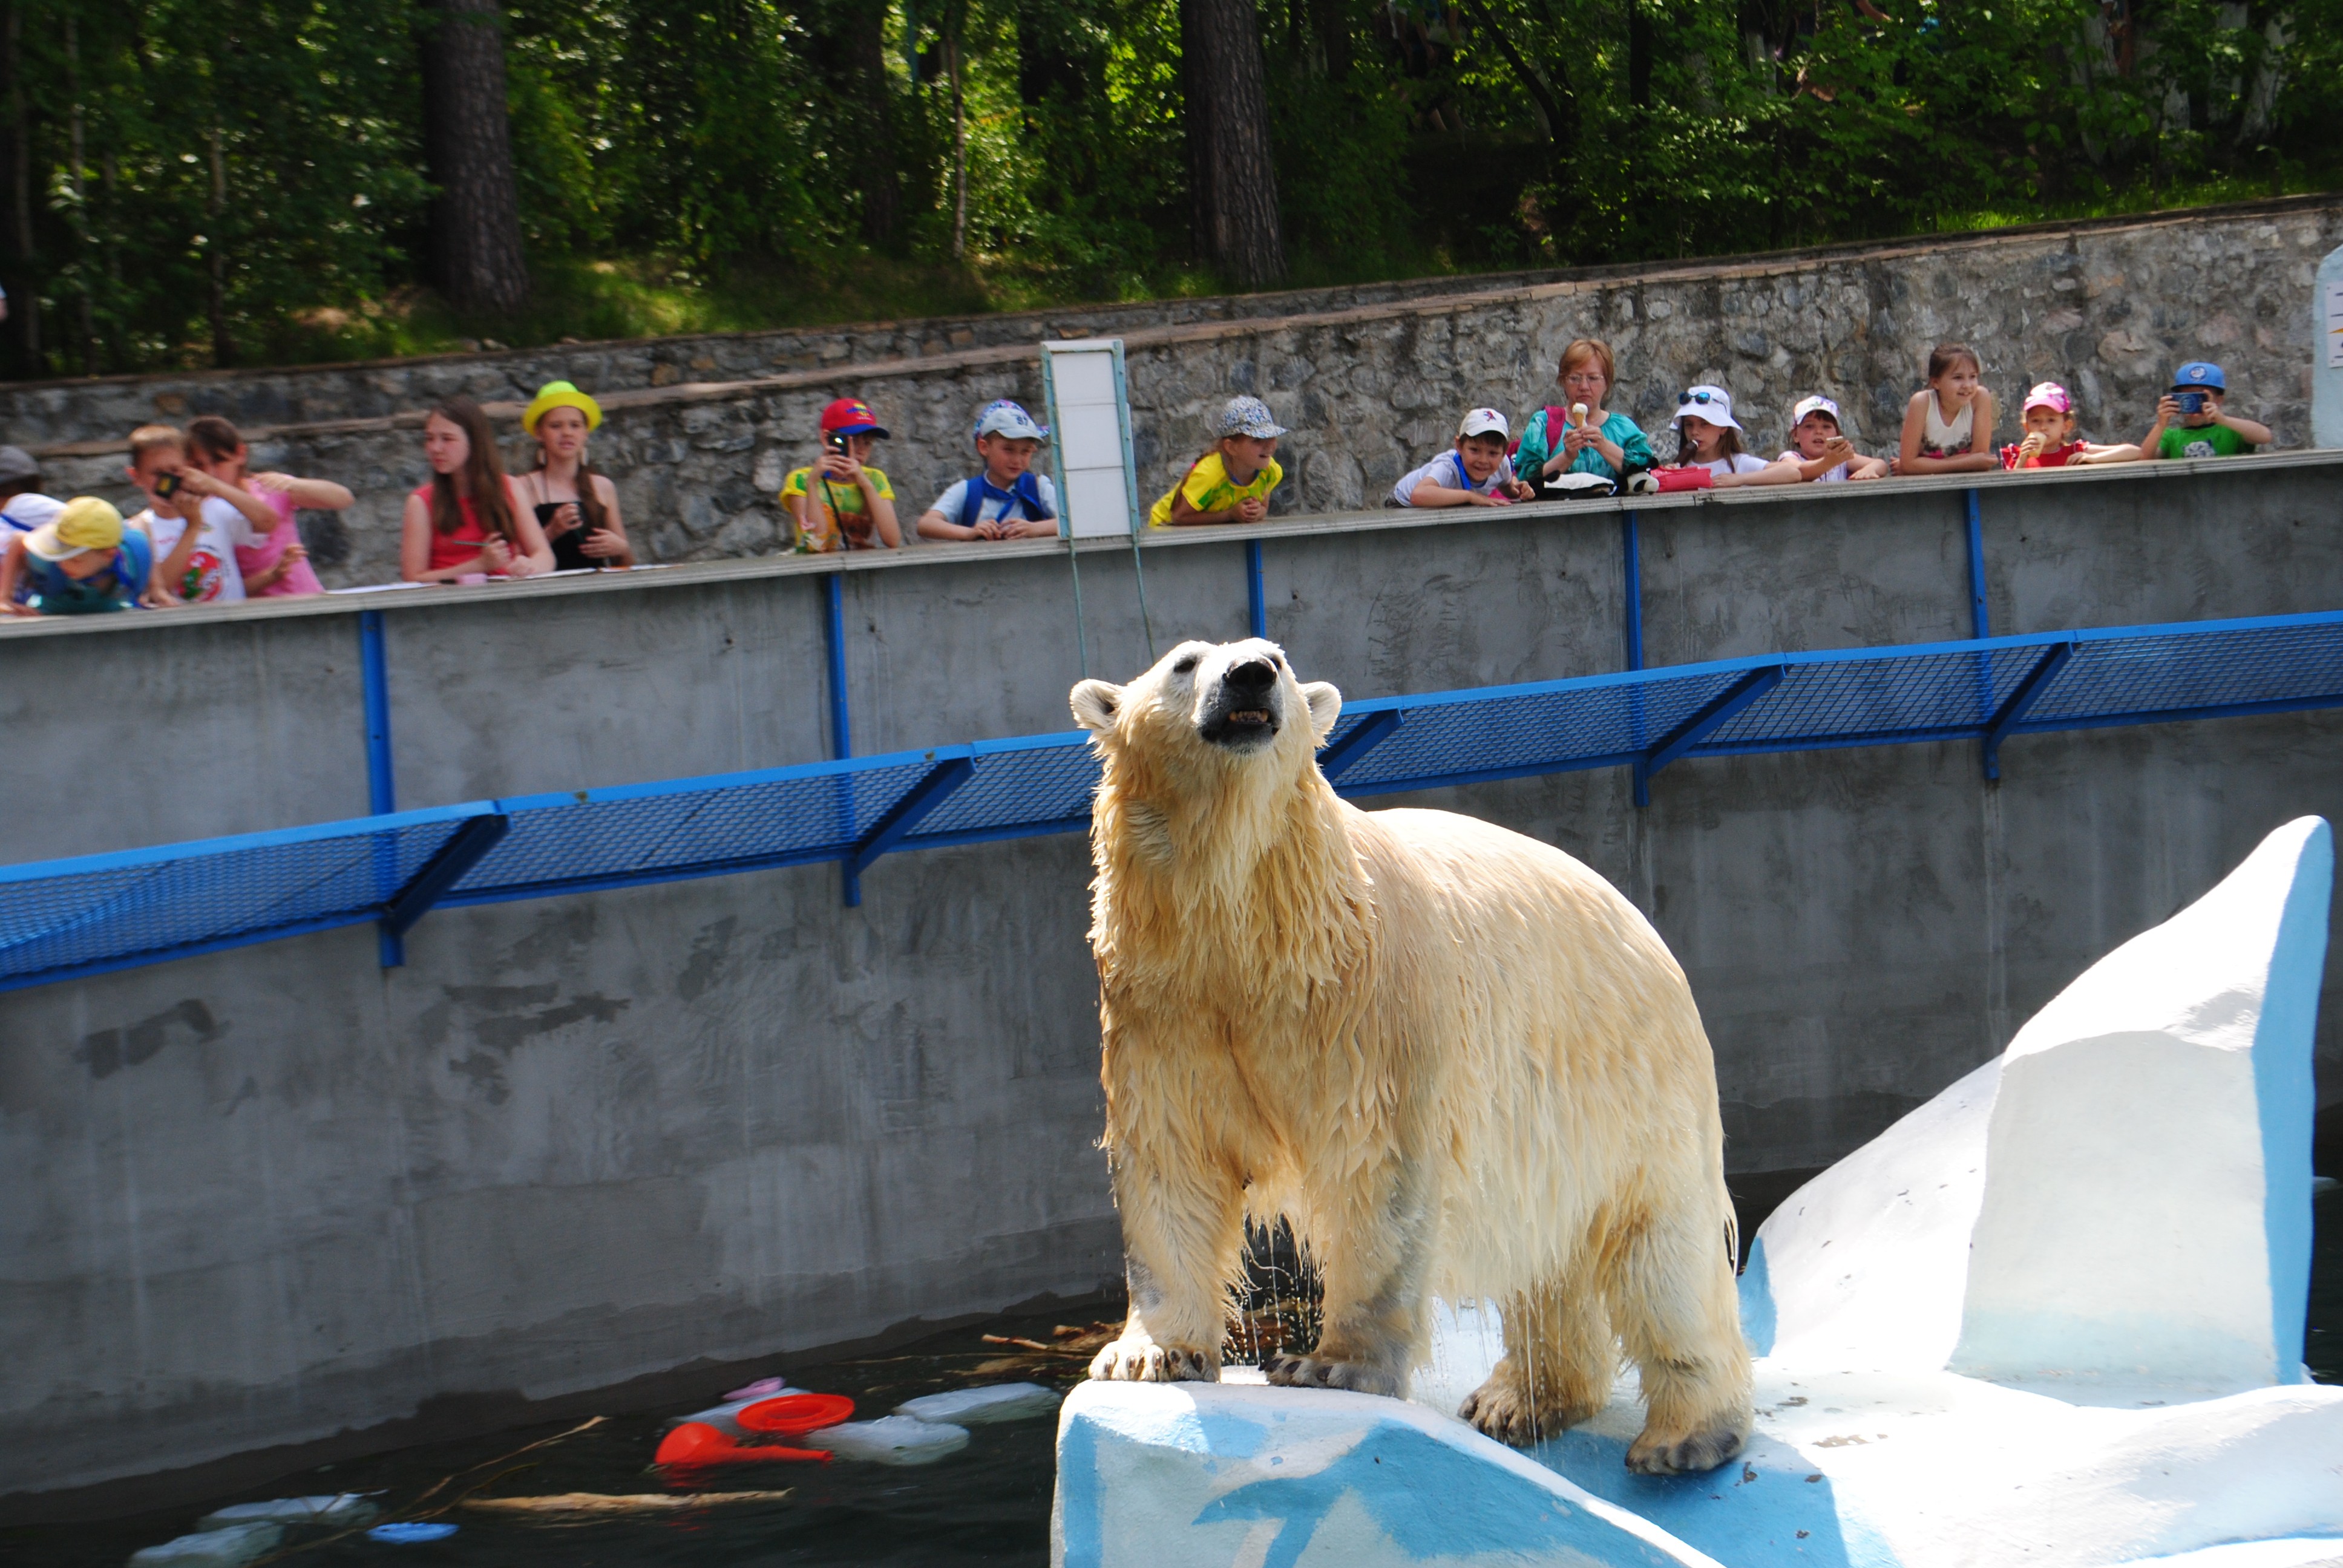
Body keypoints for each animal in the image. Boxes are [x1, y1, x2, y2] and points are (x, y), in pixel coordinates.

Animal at [1073, 637, 1752, 1472]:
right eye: (1184, 662)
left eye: (1278, 659)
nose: (1251, 677)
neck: (1250, 932)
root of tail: (1647, 929)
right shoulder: (1162, 1006)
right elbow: (1172, 1162)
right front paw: (1148, 1354)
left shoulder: (1366, 1005)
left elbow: (1374, 1167)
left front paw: (1326, 1365)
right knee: (1549, 1254)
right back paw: (1517, 1398)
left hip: (1632, 1080)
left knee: (1660, 1252)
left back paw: (1685, 1436)